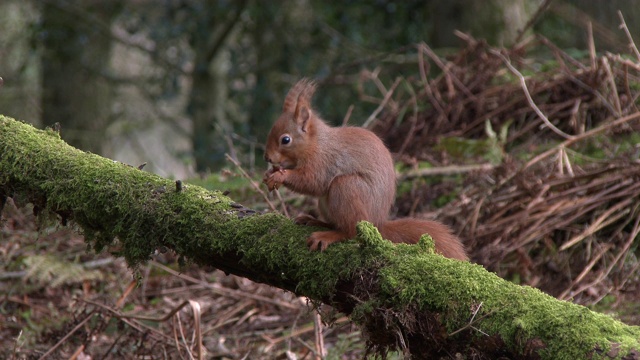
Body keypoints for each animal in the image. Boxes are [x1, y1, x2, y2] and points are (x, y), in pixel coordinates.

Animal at [262, 79, 468, 260]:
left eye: (285, 140)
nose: (267, 158)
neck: (316, 143)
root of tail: (377, 224)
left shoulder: (324, 162)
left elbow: (313, 182)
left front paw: (280, 176)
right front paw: (269, 174)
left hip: (347, 188)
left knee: (350, 231)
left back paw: (327, 235)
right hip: (326, 203)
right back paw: (315, 221)